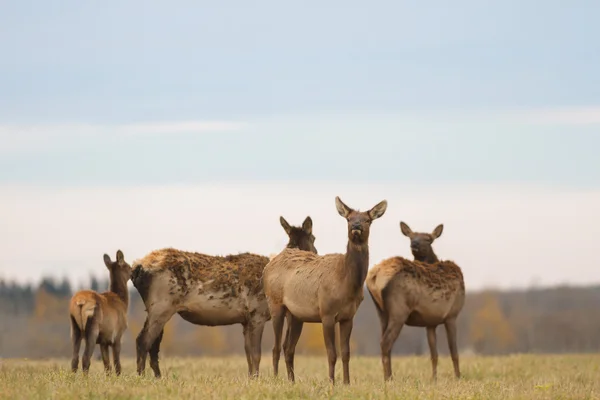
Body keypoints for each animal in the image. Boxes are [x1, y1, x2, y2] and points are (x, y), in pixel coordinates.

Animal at [131, 214, 318, 376]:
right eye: (314, 238)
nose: (316, 253)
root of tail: (137, 269)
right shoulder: (257, 313)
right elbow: (256, 354)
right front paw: (257, 379)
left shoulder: (245, 320)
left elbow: (248, 355)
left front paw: (251, 379)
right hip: (161, 305)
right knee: (143, 340)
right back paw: (141, 377)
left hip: (160, 308)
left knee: (153, 345)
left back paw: (157, 377)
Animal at [264, 197, 386, 384]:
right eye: (348, 219)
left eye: (368, 220)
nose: (356, 226)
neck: (347, 284)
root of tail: (267, 266)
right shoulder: (327, 313)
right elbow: (332, 354)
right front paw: (332, 383)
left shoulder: (348, 317)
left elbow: (346, 353)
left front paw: (347, 383)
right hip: (275, 303)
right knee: (275, 347)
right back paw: (276, 379)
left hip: (296, 315)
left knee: (289, 348)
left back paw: (292, 381)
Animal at [364, 222, 466, 382]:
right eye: (411, 237)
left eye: (428, 239)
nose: (415, 243)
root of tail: (374, 277)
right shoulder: (452, 315)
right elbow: (453, 351)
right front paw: (458, 378)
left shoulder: (430, 322)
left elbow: (434, 354)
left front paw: (434, 379)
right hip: (399, 310)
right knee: (386, 342)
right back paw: (389, 379)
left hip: (381, 311)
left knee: (384, 342)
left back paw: (389, 376)